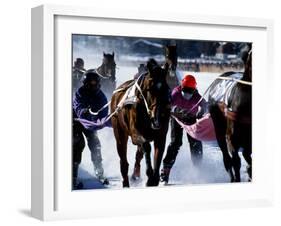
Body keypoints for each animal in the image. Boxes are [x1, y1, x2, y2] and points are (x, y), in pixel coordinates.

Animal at [110, 58, 170, 187]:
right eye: (149, 89)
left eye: (166, 88)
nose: (157, 117)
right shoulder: (135, 134)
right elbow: (146, 146)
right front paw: (149, 175)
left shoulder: (161, 135)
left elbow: (158, 153)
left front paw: (154, 178)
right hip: (119, 132)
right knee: (123, 159)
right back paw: (126, 182)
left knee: (138, 155)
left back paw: (135, 175)